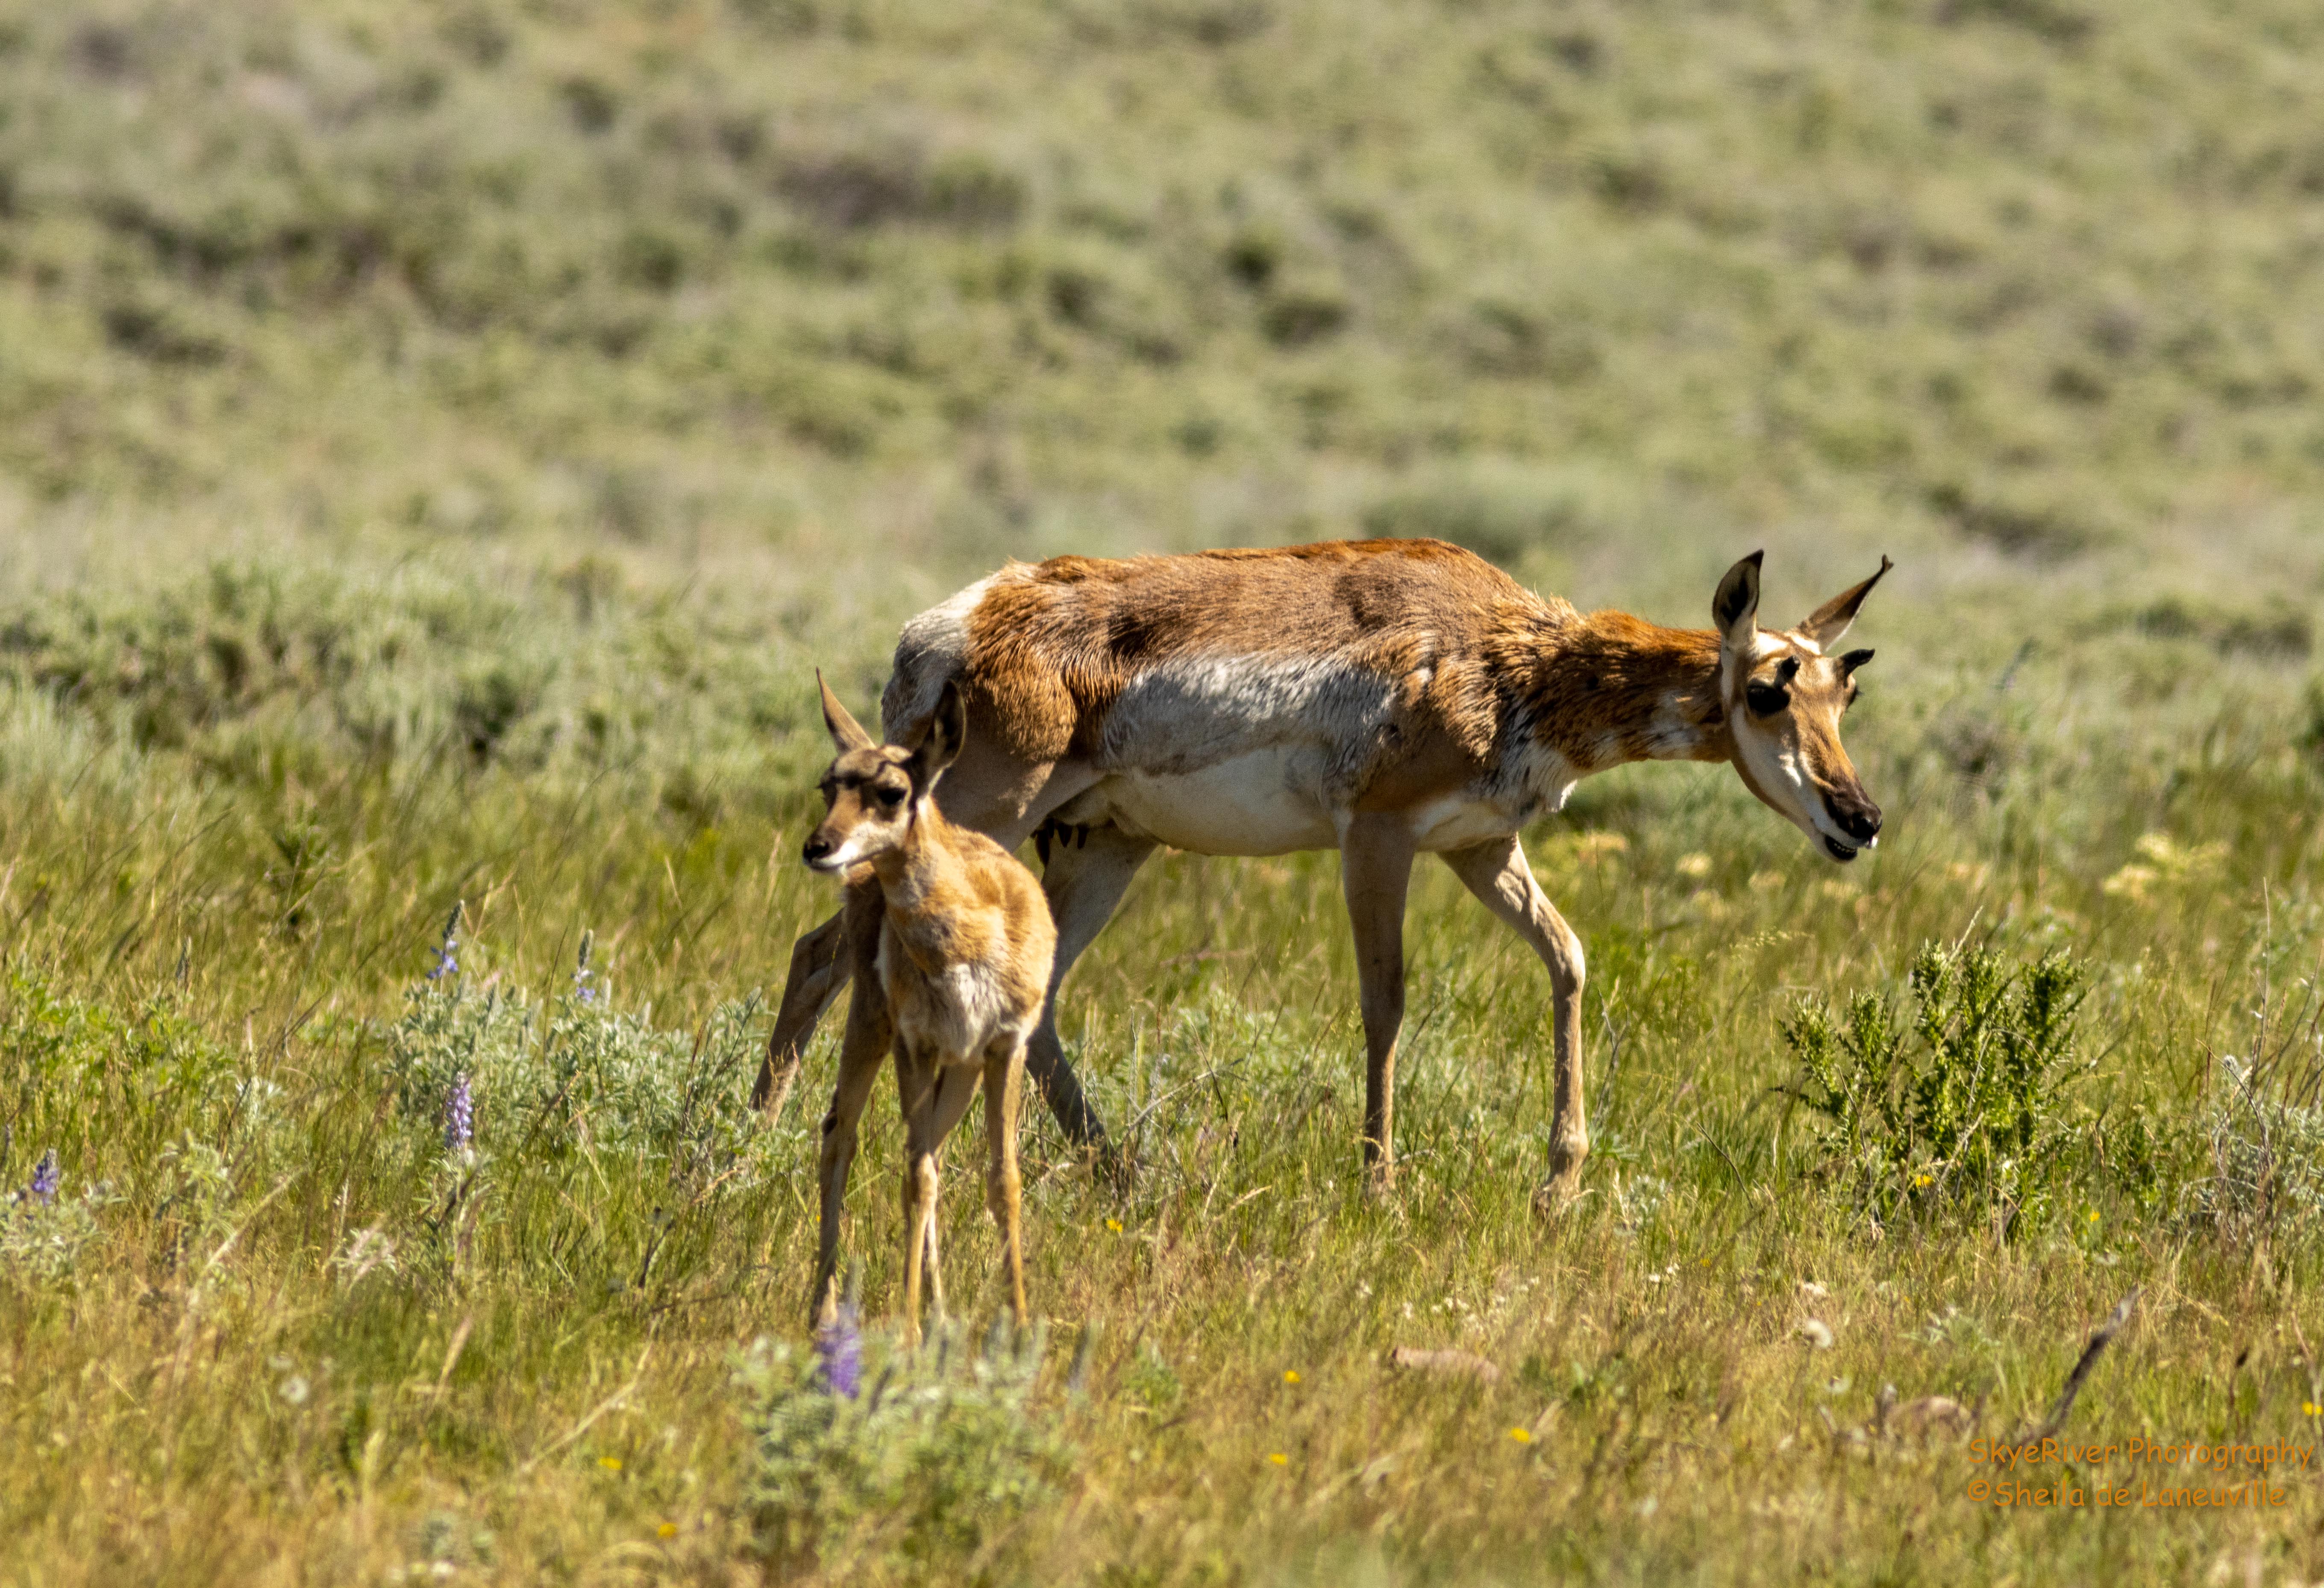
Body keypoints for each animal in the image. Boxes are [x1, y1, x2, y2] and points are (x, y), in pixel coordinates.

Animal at [762, 539, 1889, 1215]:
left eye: (1843, 687)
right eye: (1767, 689)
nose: (1861, 819)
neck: (1509, 655)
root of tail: (947, 627)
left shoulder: (1481, 848)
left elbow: (1568, 961)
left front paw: (1558, 1184)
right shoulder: (1376, 839)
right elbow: (1385, 1002)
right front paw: (1380, 1185)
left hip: (1103, 849)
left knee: (1031, 1008)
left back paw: (1129, 1178)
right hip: (974, 821)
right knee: (821, 951)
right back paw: (751, 1143)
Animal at [801, 670, 1054, 1337]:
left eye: (892, 791)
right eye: (828, 784)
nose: (819, 847)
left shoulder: (1004, 1046)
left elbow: (1003, 1179)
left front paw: (1021, 1323)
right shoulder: (914, 1044)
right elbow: (914, 1179)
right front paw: (910, 1325)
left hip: (958, 1070)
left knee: (932, 1151)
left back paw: (941, 1311)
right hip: (871, 1027)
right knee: (842, 1134)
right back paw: (825, 1309)